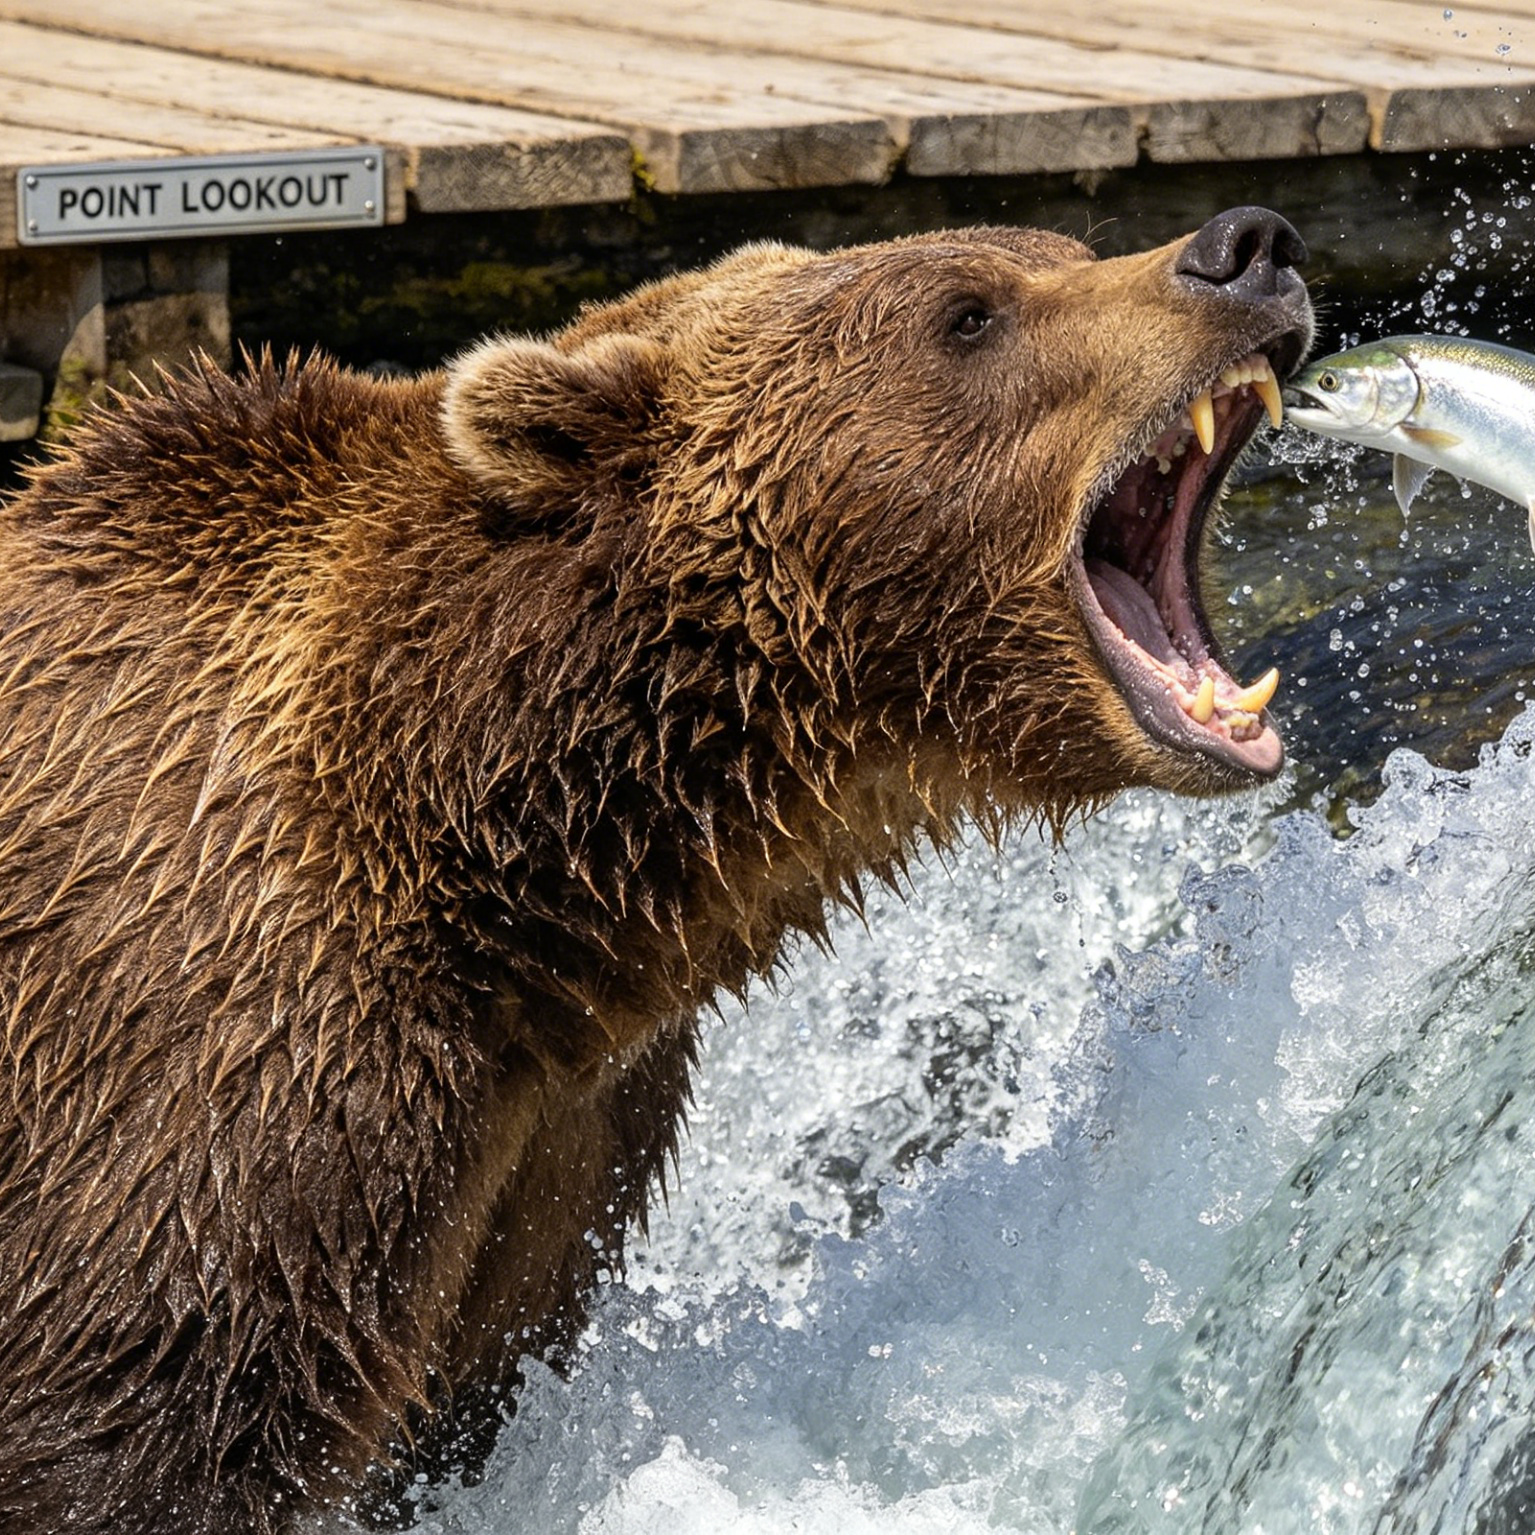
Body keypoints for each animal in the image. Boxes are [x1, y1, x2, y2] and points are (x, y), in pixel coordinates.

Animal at [0, 207, 1310, 1533]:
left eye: (1060, 247)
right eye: (967, 313)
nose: (1243, 247)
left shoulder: (560, 1151)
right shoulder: (222, 1066)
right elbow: (146, 1428)